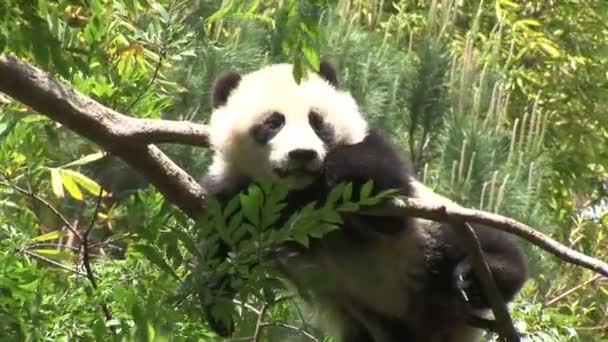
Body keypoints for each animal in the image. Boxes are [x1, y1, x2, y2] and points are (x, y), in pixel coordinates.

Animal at [200, 61, 528, 342]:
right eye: (273, 123)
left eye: (317, 121)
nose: (303, 154)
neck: (297, 192)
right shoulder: (236, 189)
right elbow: (220, 239)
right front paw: (221, 311)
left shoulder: (376, 154)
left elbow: (386, 199)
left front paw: (338, 166)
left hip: (434, 232)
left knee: (483, 245)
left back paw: (480, 276)